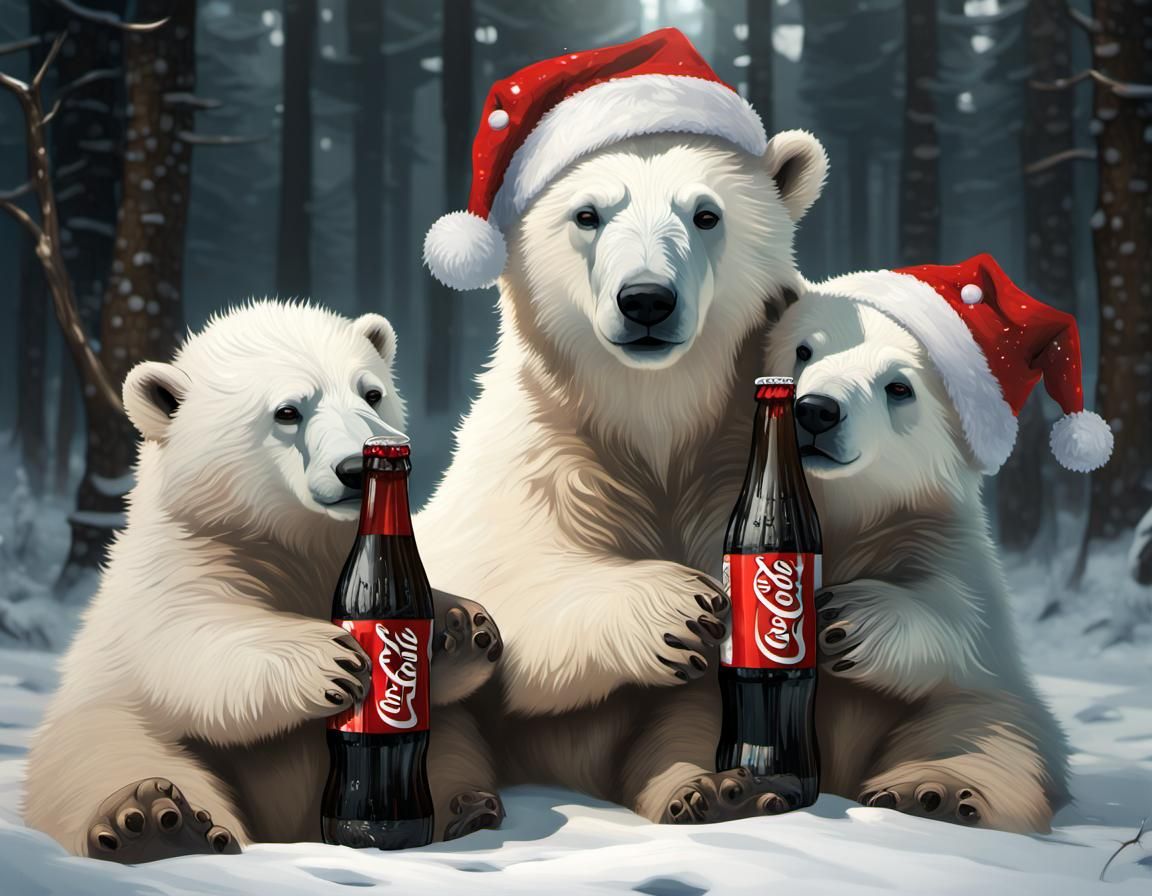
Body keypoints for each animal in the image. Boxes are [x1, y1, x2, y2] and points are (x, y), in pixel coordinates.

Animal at [24, 302, 504, 862]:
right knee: (109, 758)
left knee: (451, 746)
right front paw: (329, 660)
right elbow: (186, 639)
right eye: (288, 411)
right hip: (110, 720)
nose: (355, 467)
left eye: (371, 393)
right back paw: (151, 824)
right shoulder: (179, 564)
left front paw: (459, 627)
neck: (287, 540)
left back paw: (466, 809)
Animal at [414, 126, 830, 826]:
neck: (651, 417)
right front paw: (675, 603)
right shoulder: (540, 453)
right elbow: (515, 582)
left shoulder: (723, 461)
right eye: (588, 214)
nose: (646, 301)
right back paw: (459, 801)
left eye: (706, 214)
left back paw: (717, 789)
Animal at [763, 272, 1073, 833]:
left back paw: (933, 792)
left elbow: (959, 616)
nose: (816, 409)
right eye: (803, 349)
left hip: (975, 708)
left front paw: (847, 618)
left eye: (899, 387)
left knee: (986, 736)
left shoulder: (936, 535)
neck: (847, 514)